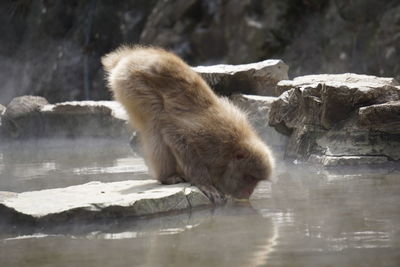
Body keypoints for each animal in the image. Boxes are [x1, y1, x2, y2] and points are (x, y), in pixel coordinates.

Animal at [101, 46, 274, 205]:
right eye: (250, 178)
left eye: (255, 181)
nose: (250, 191)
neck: (231, 149)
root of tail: (130, 55)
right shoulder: (208, 137)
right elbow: (176, 137)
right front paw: (204, 183)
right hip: (132, 82)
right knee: (156, 123)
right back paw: (167, 177)